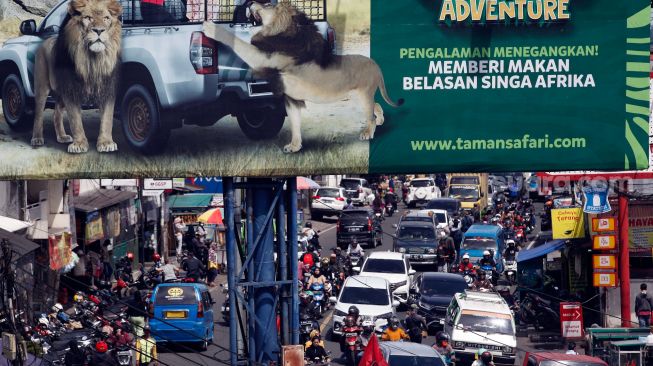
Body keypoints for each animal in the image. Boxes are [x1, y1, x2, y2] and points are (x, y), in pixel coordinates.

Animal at [30, 0, 123, 153]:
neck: (93, 60)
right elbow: (75, 120)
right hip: (42, 87)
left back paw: (62, 137)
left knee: (56, 113)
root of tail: (46, 40)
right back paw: (37, 138)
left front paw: (106, 143)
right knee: (38, 113)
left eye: (106, 18)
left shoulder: (107, 89)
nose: (99, 30)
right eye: (88, 18)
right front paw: (79, 144)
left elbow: (107, 118)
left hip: (60, 93)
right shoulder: (71, 91)